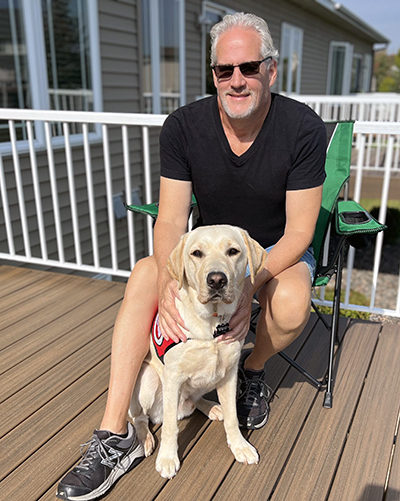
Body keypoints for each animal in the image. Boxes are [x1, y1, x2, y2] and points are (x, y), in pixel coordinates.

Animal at [129, 224, 266, 476]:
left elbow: (233, 417)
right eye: (197, 253)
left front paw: (240, 446)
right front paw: (167, 458)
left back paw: (212, 407)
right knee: (140, 417)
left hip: (211, 377)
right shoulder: (173, 377)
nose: (217, 280)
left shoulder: (229, 374)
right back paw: (145, 439)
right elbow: (170, 427)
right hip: (148, 378)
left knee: (194, 400)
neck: (212, 324)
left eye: (233, 251)